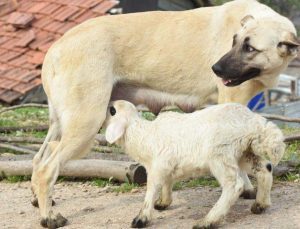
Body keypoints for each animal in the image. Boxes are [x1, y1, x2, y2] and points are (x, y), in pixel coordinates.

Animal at [104, 100, 284, 229]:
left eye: (112, 110)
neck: (142, 135)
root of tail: (253, 121)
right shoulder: (166, 166)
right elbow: (167, 183)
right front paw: (163, 203)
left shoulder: (157, 166)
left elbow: (151, 190)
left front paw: (141, 219)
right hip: (243, 152)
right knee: (265, 168)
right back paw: (260, 205)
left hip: (220, 154)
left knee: (234, 185)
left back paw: (208, 221)